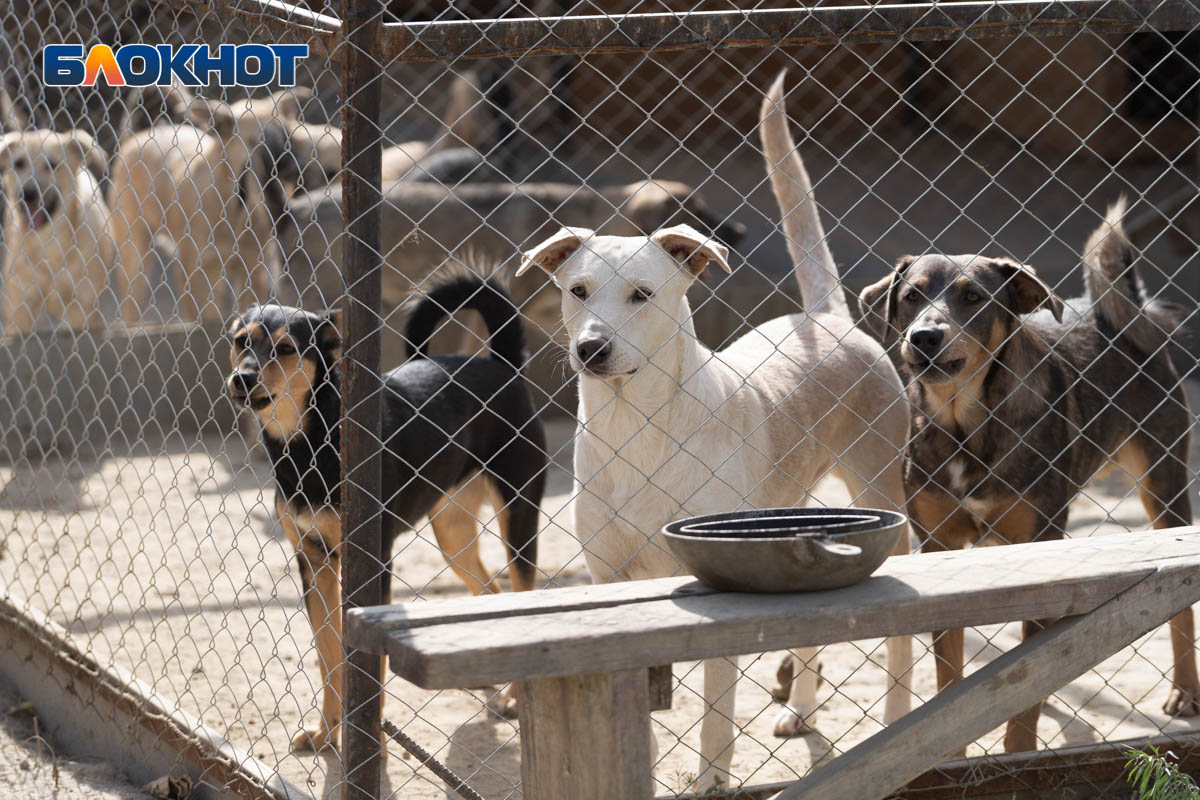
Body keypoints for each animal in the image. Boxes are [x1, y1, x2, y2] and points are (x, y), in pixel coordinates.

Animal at [0, 130, 115, 335]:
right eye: (19, 163)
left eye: (52, 165)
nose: (28, 193)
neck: (50, 243)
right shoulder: (20, 309)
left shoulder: (83, 308)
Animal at [225, 273, 549, 753]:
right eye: (240, 341)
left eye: (285, 349)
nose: (241, 379)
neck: (312, 442)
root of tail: (500, 365)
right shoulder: (314, 562)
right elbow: (328, 657)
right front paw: (327, 731)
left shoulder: (373, 562)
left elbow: (366, 664)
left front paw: (367, 736)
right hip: (452, 533)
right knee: (491, 589)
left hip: (518, 515)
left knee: (523, 593)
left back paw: (512, 695)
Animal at [516, 71, 907, 791]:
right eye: (577, 290)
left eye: (642, 295)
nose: (590, 350)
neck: (637, 427)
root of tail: (826, 318)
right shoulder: (609, 579)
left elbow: (715, 720)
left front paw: (710, 781)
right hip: (795, 520)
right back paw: (801, 711)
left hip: (882, 494)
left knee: (899, 640)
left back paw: (895, 716)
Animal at [864, 199, 1200, 753]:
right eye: (911, 297)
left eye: (973, 297)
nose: (924, 337)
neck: (967, 424)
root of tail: (1116, 314)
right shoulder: (938, 546)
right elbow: (951, 677)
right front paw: (950, 752)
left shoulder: (1041, 539)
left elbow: (1023, 695)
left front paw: (1017, 755)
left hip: (1164, 486)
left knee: (1181, 609)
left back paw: (1186, 692)